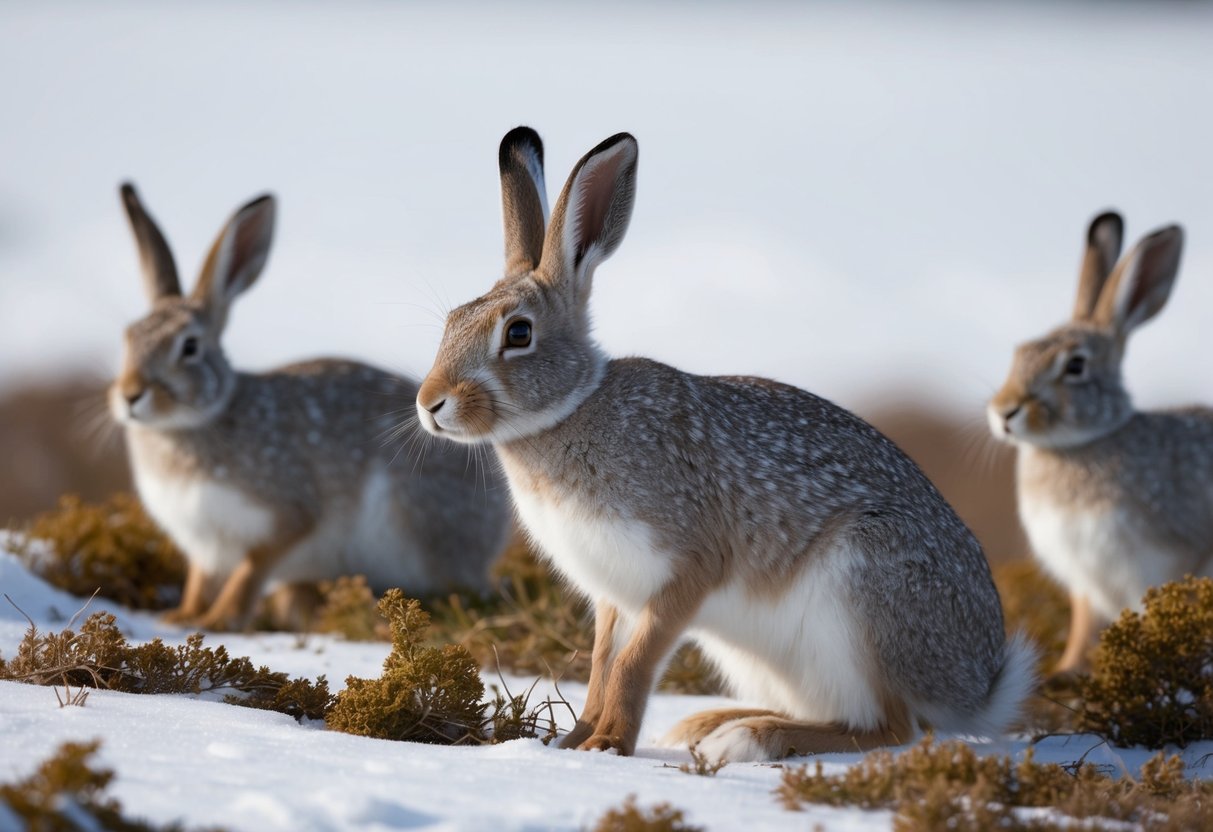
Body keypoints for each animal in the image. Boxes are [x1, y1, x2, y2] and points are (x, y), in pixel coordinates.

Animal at [109, 183, 512, 631]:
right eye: (129, 338)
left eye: (190, 347)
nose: (130, 395)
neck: (197, 419)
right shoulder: (202, 544)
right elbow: (200, 579)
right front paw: (182, 616)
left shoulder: (287, 517)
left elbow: (250, 570)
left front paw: (220, 620)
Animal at [414, 127, 1036, 762]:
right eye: (453, 321)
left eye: (518, 333)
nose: (429, 403)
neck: (571, 409)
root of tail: (979, 685)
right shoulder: (615, 596)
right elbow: (601, 667)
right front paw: (574, 739)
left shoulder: (687, 568)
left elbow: (633, 666)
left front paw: (607, 746)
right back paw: (712, 723)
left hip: (863, 604)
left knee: (890, 727)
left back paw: (751, 737)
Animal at [988, 211, 1211, 674]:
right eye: (1020, 353)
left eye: (1075, 366)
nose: (1004, 412)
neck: (1077, 445)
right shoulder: (1084, 579)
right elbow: (1082, 625)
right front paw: (1068, 670)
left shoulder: (1164, 562)